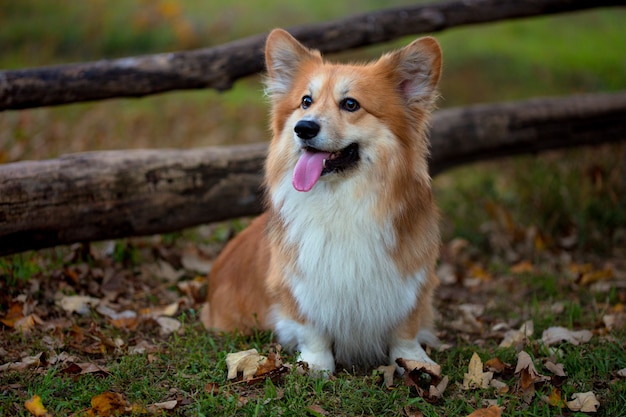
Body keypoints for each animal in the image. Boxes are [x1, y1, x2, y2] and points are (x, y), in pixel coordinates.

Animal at [207, 28, 442, 374]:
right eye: (306, 102)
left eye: (350, 104)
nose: (303, 128)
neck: (341, 201)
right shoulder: (299, 286)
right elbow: (312, 327)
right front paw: (316, 365)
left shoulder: (411, 282)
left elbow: (405, 329)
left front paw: (414, 361)